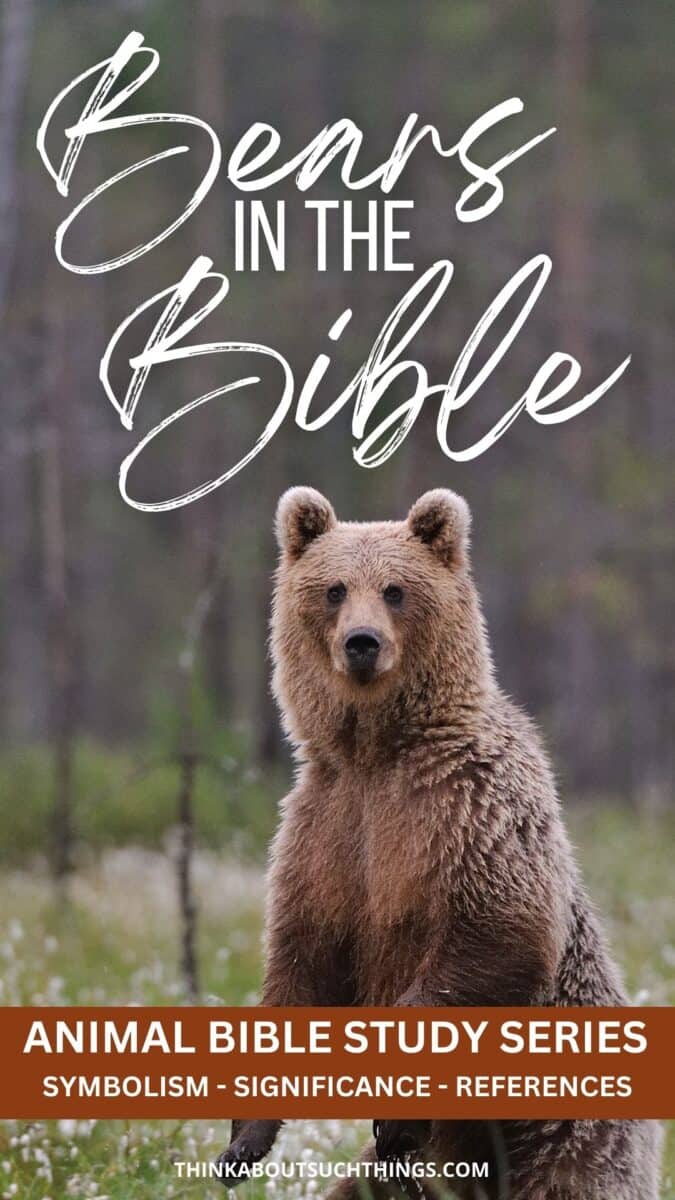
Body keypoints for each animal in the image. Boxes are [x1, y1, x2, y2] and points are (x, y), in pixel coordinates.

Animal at [217, 486, 661, 1200]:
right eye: (335, 589)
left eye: (395, 590)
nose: (362, 643)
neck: (378, 753)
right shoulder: (327, 829)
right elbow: (303, 961)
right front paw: (244, 1141)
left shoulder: (469, 813)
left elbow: (496, 934)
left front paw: (395, 1105)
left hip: (568, 1134)